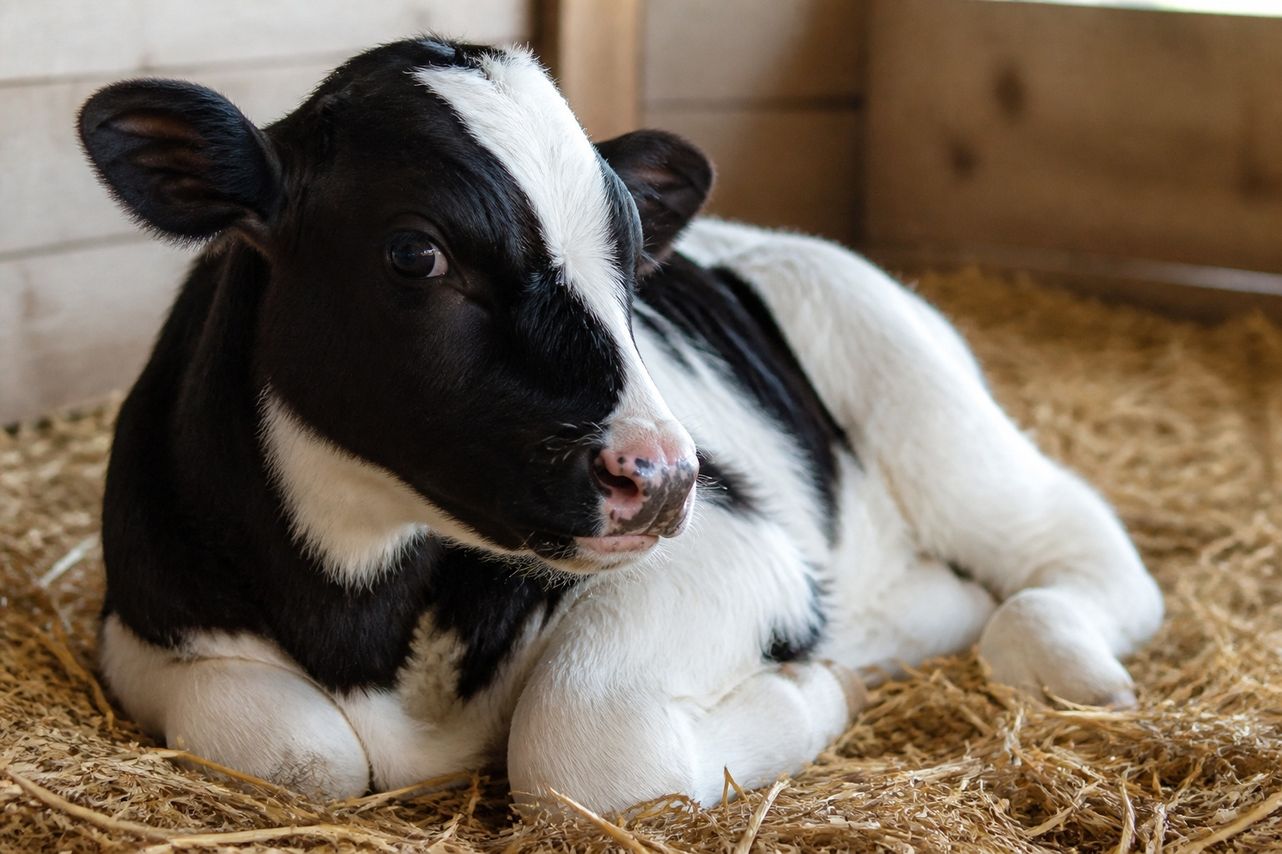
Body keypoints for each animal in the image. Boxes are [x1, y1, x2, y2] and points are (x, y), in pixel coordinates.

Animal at [78, 37, 1163, 812]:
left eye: (632, 257)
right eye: (415, 253)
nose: (670, 475)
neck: (363, 617)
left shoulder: (734, 544)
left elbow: (588, 754)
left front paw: (812, 693)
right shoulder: (143, 622)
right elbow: (296, 752)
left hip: (920, 393)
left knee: (1067, 546)